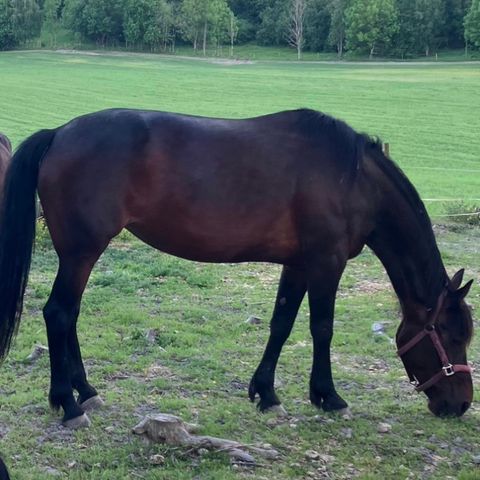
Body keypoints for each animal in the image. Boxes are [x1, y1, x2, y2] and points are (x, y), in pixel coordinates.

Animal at [0, 109, 474, 428]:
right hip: (82, 252)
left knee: (71, 317)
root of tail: (58, 134)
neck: (354, 179)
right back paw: (68, 404)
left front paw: (266, 392)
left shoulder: (297, 265)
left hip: (79, 255)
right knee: (59, 314)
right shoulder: (326, 263)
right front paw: (328, 396)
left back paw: (87, 392)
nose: (461, 404)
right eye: (452, 336)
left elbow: (282, 324)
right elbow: (322, 328)